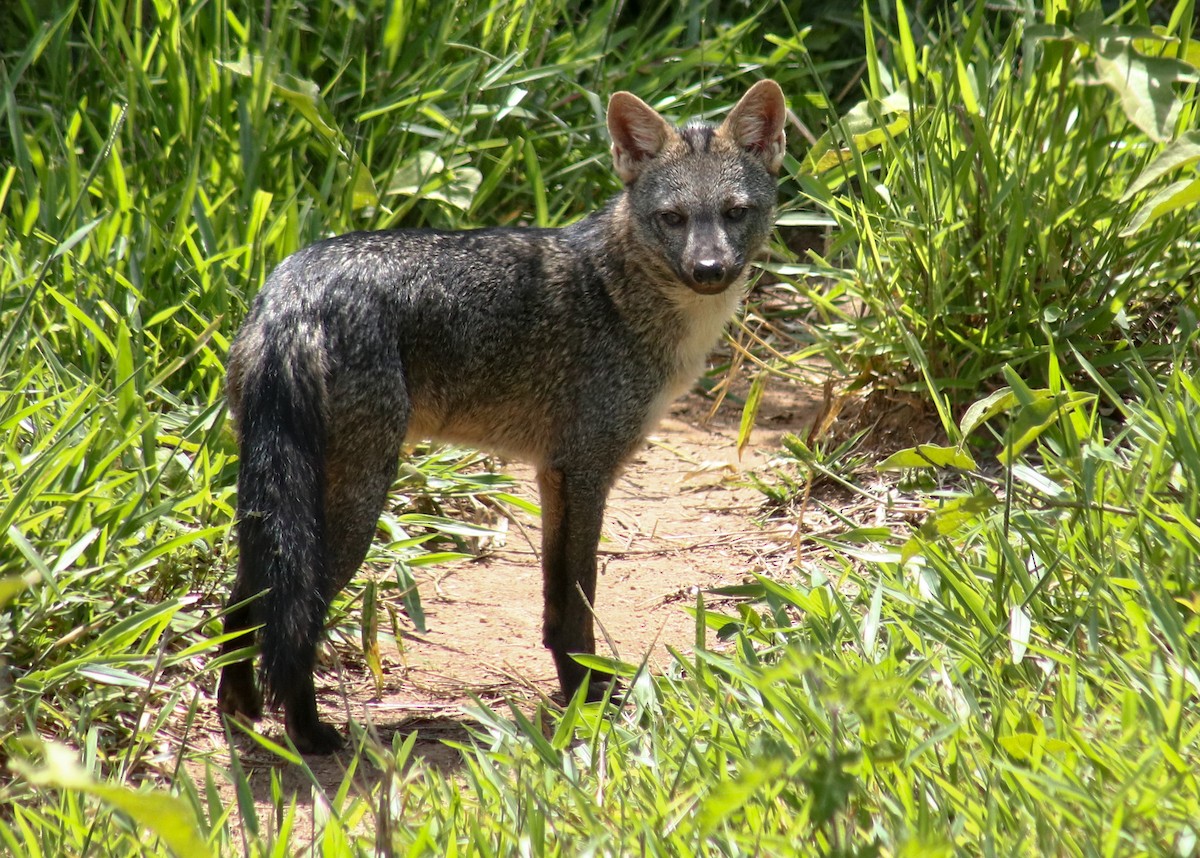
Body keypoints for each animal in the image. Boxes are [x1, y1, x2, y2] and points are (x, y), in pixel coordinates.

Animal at [216, 79, 787, 753]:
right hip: (356, 502)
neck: (620, 294)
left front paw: (577, 688)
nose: (709, 271)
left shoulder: (552, 473)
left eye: (734, 212)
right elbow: (579, 599)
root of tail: (291, 293)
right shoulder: (587, 469)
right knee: (294, 617)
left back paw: (239, 709)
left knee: (240, 604)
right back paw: (308, 733)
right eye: (672, 218)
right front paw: (592, 696)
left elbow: (555, 601)